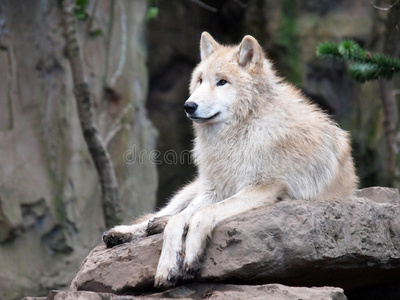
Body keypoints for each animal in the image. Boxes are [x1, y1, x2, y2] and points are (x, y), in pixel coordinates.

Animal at [102, 32, 356, 288]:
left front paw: (190, 255)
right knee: (164, 214)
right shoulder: (214, 190)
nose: (188, 106)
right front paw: (167, 266)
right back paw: (122, 232)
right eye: (200, 80)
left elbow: (203, 214)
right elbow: (179, 221)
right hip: (193, 189)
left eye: (222, 82)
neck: (239, 134)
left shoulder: (262, 189)